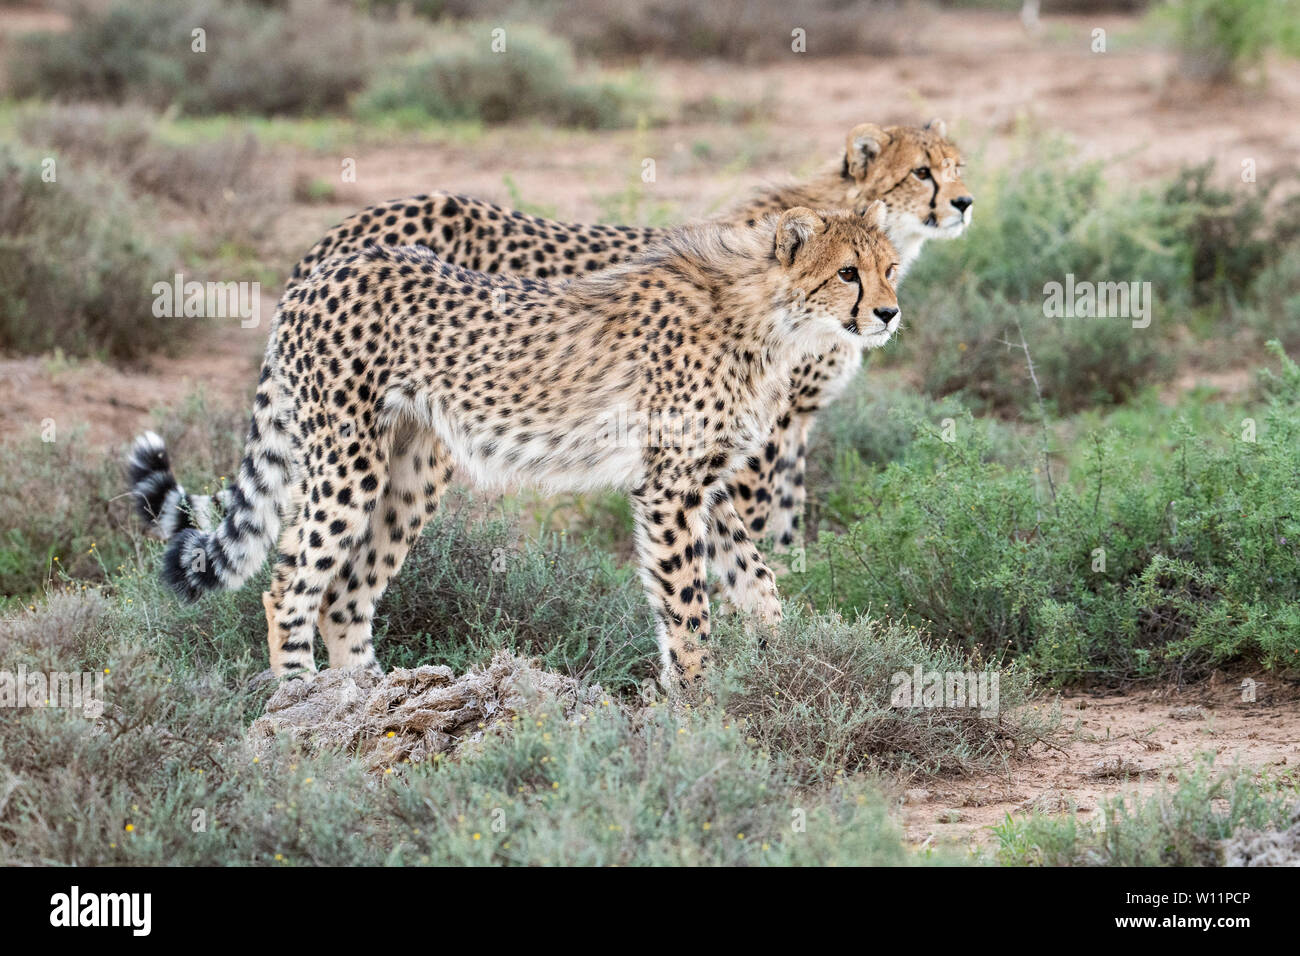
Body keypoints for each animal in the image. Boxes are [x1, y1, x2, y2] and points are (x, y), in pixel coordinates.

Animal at [131, 205, 904, 691]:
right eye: (847, 272)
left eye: (890, 267)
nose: (890, 313)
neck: (767, 312)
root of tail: (326, 266)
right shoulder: (669, 488)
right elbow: (687, 609)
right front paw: (700, 701)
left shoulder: (703, 485)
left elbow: (758, 581)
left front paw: (789, 667)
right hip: (348, 462)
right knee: (289, 580)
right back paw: (301, 701)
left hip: (411, 470)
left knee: (346, 594)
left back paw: (376, 696)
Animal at [284, 120, 977, 556]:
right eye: (921, 173)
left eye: (957, 167)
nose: (966, 202)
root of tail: (358, 226)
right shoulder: (767, 427)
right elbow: (761, 517)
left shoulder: (789, 421)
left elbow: (786, 512)